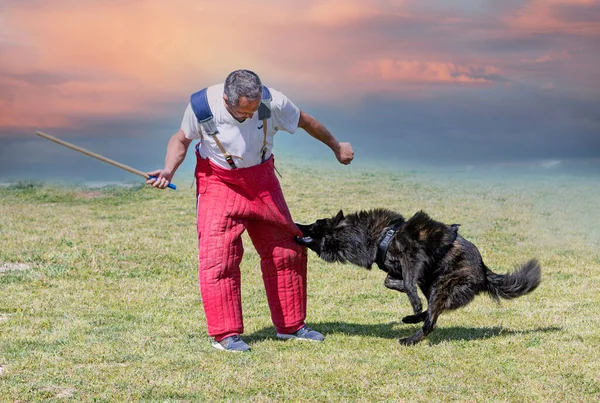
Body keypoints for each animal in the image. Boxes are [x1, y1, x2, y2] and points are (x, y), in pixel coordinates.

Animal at [292, 210, 540, 346]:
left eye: (314, 225)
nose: (295, 223)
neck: (367, 236)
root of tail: (483, 270)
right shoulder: (398, 269)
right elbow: (391, 281)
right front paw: (408, 300)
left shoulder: (413, 256)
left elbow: (407, 283)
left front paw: (413, 302)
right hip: (432, 284)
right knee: (431, 312)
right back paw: (411, 319)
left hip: (442, 285)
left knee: (431, 321)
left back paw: (411, 338)